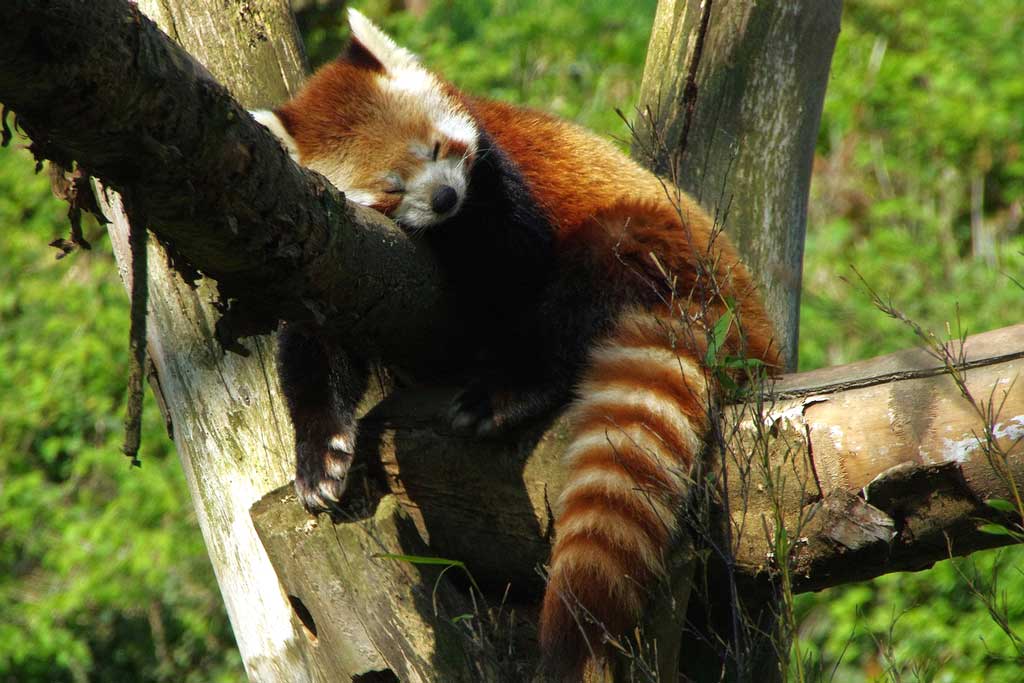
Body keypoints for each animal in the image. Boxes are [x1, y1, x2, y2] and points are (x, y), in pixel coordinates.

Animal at [251, 9, 778, 679]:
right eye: (392, 187)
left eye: (437, 149)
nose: (445, 197)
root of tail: (742, 312)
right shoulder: (332, 263)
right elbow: (315, 352)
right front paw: (321, 456)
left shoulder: (502, 183)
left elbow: (513, 264)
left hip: (649, 242)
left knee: (575, 297)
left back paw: (507, 392)